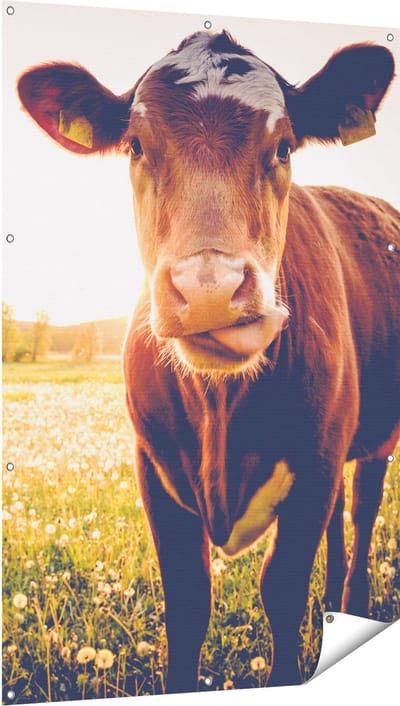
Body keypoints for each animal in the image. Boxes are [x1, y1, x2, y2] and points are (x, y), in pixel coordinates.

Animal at [18, 30, 400, 692]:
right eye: (136, 145)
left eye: (284, 147)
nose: (209, 292)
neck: (221, 406)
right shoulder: (153, 467)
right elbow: (188, 601)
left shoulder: (317, 461)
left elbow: (282, 591)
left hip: (372, 438)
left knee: (361, 511)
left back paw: (350, 605)